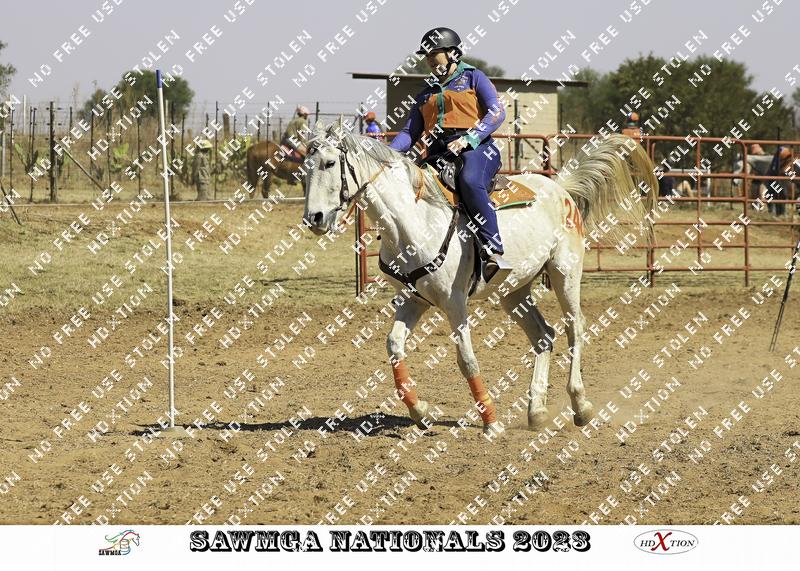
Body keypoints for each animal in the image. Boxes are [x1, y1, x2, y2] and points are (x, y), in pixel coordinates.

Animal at [302, 120, 657, 437]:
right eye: (305, 168)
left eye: (330, 163)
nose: (314, 218)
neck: (413, 221)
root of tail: (560, 187)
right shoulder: (413, 300)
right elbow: (394, 347)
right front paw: (421, 412)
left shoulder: (454, 302)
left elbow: (466, 360)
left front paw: (490, 421)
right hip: (514, 291)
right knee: (544, 336)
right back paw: (537, 412)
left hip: (565, 273)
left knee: (575, 329)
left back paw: (581, 406)